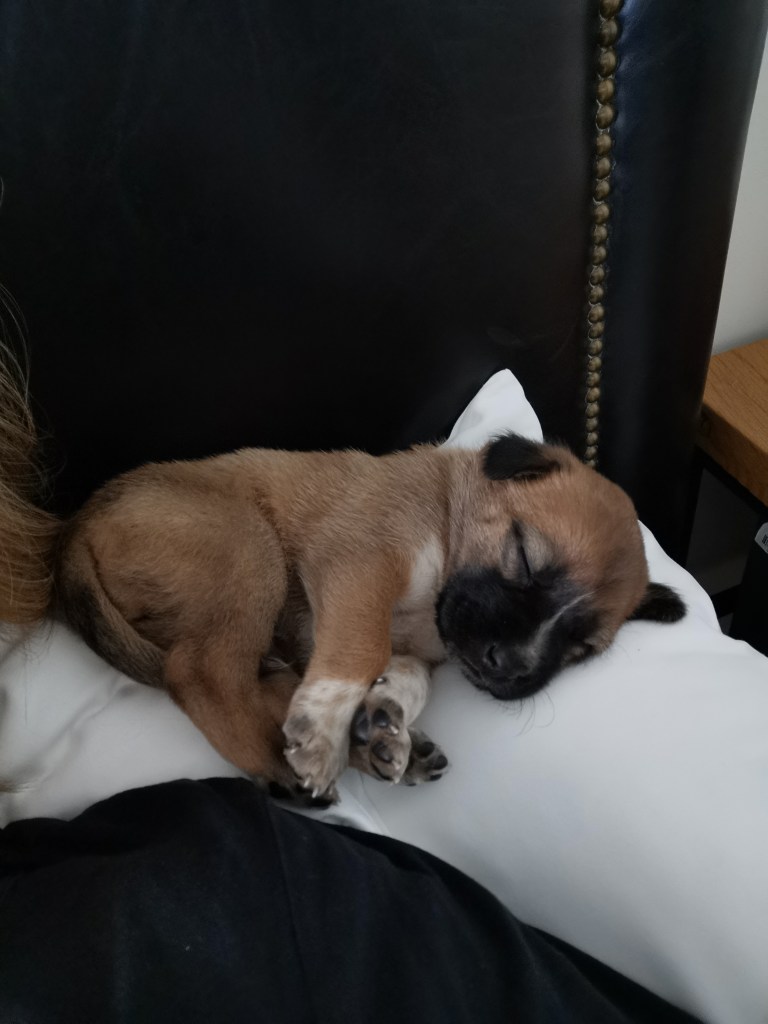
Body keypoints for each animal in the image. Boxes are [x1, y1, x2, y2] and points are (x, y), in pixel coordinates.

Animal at [56, 432, 684, 802]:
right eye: (524, 556)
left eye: (580, 649)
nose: (508, 667)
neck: (445, 519)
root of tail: (77, 528)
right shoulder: (360, 563)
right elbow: (363, 648)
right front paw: (325, 728)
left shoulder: (405, 641)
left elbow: (406, 675)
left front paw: (384, 716)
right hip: (249, 550)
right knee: (202, 675)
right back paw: (284, 765)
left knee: (253, 681)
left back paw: (371, 749)